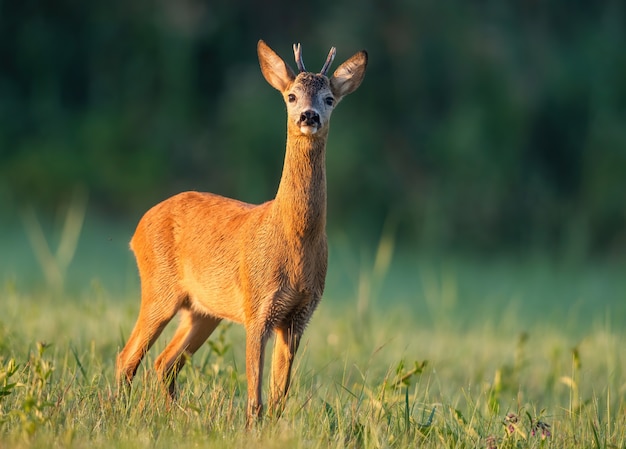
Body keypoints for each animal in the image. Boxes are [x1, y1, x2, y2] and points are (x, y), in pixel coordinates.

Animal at [116, 38, 366, 424]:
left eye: (329, 98)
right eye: (291, 96)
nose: (308, 116)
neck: (294, 238)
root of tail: (139, 227)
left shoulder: (299, 315)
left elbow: (278, 397)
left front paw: (274, 429)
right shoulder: (257, 305)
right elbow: (255, 397)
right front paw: (252, 426)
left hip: (202, 310)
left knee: (164, 362)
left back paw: (175, 416)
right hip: (160, 289)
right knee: (128, 357)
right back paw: (117, 412)